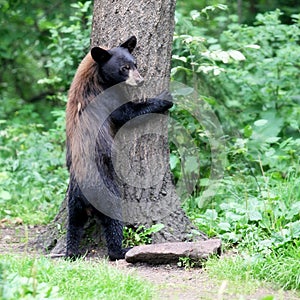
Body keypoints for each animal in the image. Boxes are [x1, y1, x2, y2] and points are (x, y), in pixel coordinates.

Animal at [65, 35, 173, 260]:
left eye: (135, 64)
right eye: (124, 68)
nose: (140, 80)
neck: (95, 75)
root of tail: (84, 198)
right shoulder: (106, 97)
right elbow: (127, 113)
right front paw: (165, 97)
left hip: (73, 203)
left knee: (74, 226)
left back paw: (71, 251)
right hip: (106, 192)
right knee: (113, 219)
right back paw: (121, 250)